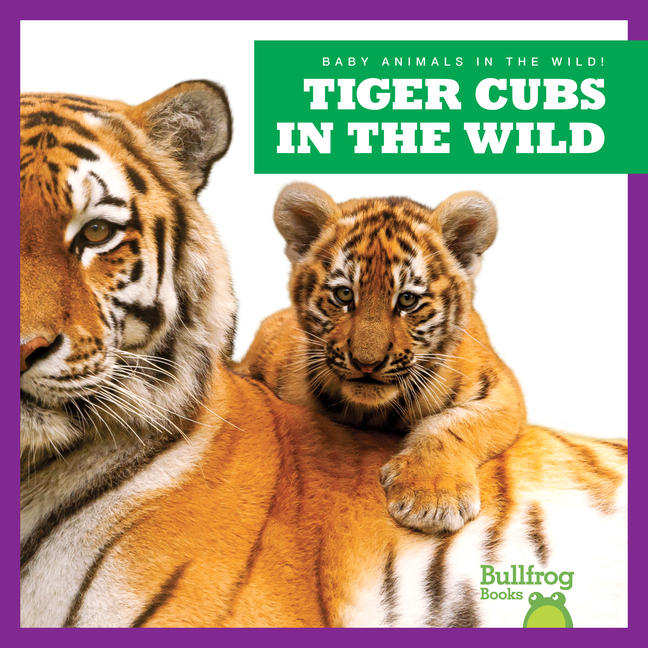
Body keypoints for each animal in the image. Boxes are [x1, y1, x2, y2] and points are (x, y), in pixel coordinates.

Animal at [238, 183, 526, 534]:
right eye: (344, 294)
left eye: (407, 300)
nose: (367, 363)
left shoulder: (502, 390)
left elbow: (454, 424)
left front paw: (431, 497)